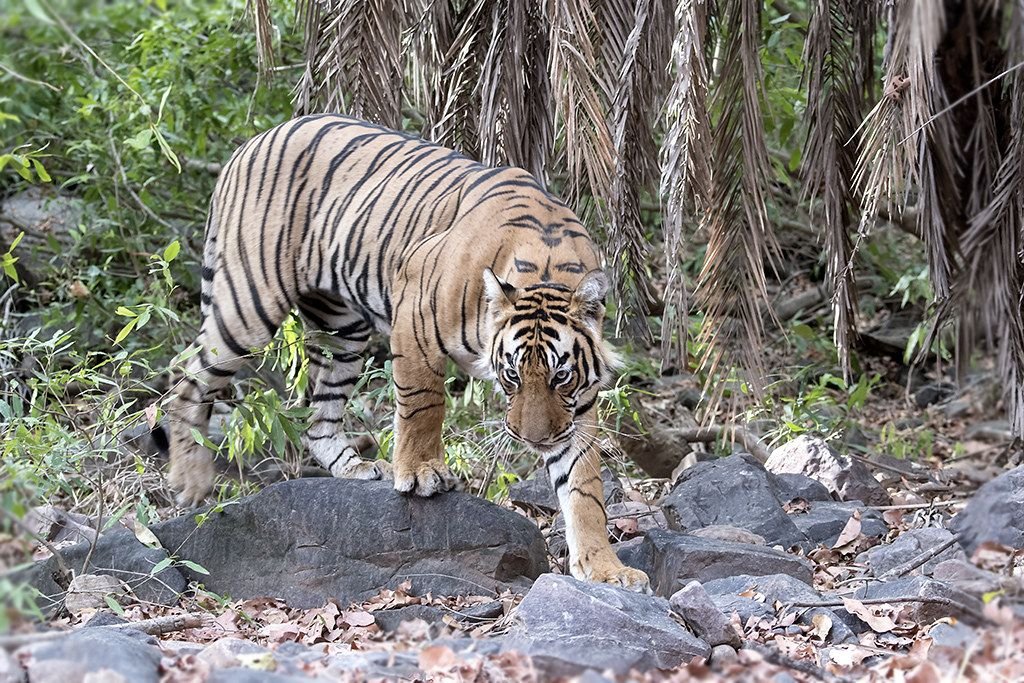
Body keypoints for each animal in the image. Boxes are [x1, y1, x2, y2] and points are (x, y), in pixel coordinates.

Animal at [165, 114, 649, 592]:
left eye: (559, 377)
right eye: (511, 375)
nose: (532, 439)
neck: (547, 267)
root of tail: (250, 143)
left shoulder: (576, 406)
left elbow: (584, 485)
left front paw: (605, 568)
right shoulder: (413, 312)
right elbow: (423, 404)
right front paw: (421, 473)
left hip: (342, 330)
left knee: (318, 418)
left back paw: (356, 469)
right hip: (248, 307)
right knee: (183, 376)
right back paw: (191, 481)